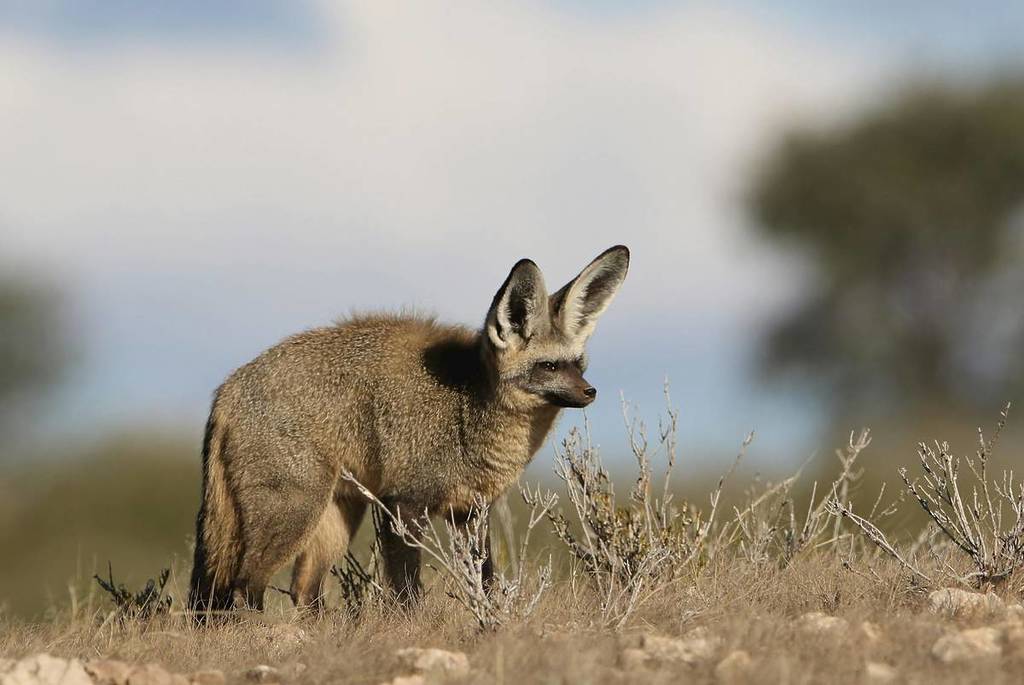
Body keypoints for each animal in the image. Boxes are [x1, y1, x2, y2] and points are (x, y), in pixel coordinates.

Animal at [187, 245, 630, 615]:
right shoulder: (402, 503)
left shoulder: (471, 511)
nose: (590, 392)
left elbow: (486, 585)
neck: (468, 412)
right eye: (549, 366)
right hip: (294, 513)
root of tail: (226, 388)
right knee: (245, 587)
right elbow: (407, 593)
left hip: (335, 519)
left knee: (303, 592)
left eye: (578, 365)